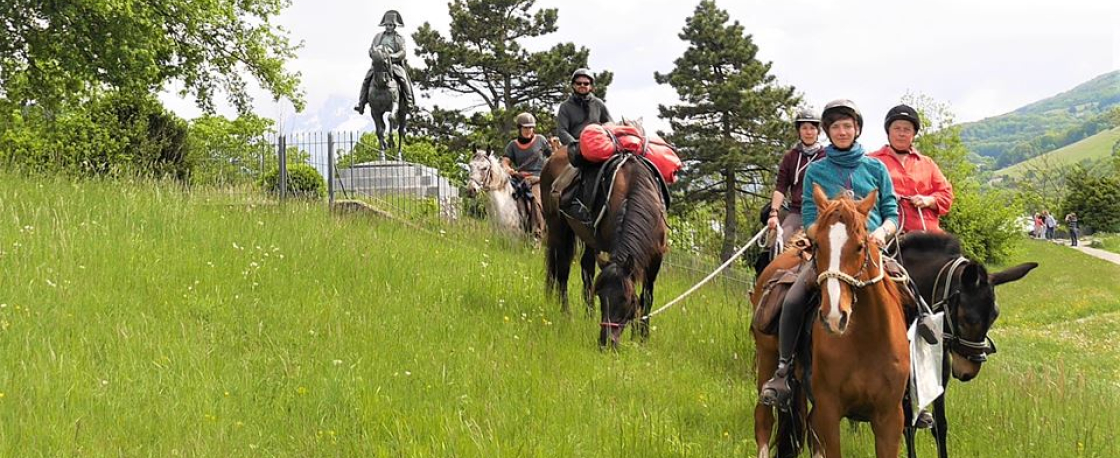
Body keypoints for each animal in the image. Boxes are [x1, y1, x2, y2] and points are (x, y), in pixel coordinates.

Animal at [539, 126, 663, 344]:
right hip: (557, 228)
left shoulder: (655, 259)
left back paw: (587, 315)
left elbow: (646, 297)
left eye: (626, 299)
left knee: (584, 268)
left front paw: (641, 337)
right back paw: (566, 312)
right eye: (601, 296)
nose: (606, 341)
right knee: (561, 269)